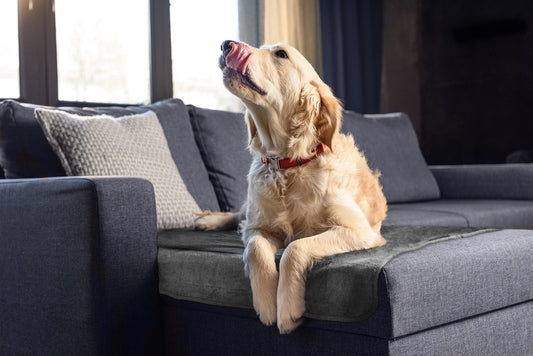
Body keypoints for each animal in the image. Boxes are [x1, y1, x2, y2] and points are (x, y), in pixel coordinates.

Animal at [195, 41, 386, 334]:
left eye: (281, 54)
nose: (227, 44)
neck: (286, 163)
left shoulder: (358, 231)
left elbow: (295, 249)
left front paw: (286, 309)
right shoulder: (259, 227)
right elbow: (255, 248)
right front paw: (266, 301)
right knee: (239, 215)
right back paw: (209, 221)